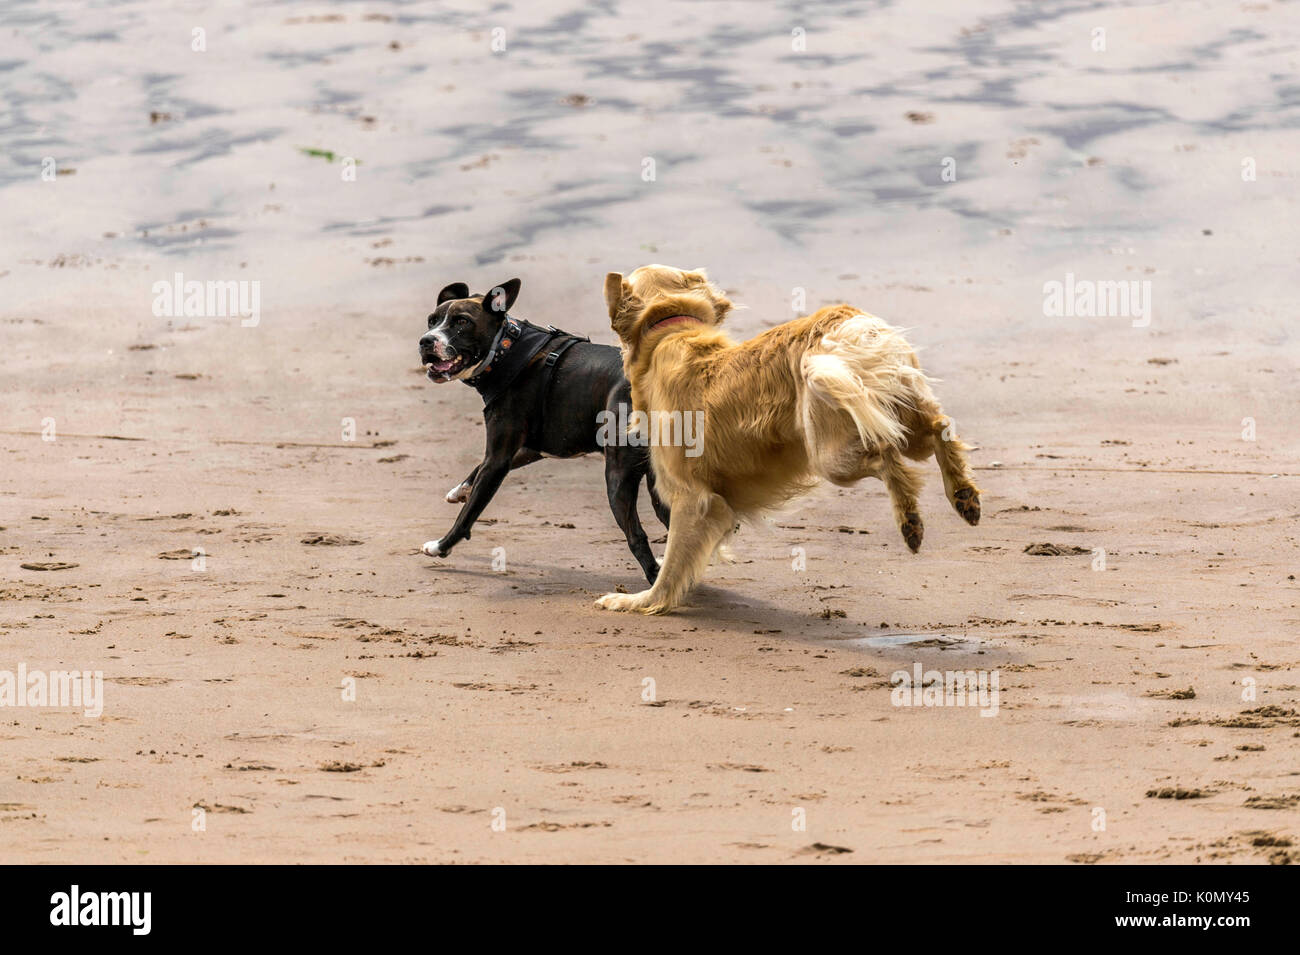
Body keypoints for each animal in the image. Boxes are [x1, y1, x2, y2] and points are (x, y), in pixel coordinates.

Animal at [416, 278, 665, 582]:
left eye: (462, 322)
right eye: (432, 320)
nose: (426, 341)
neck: (505, 349)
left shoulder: (498, 460)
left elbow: (468, 513)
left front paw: (441, 546)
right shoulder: (532, 448)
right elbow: (476, 472)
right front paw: (459, 490)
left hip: (618, 477)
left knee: (637, 537)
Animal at [595, 265, 977, 615]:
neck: (668, 331)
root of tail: (844, 319)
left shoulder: (694, 498)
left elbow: (672, 563)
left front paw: (641, 601)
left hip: (831, 453)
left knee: (885, 453)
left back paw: (910, 521)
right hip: (896, 413)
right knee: (940, 429)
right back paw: (964, 496)